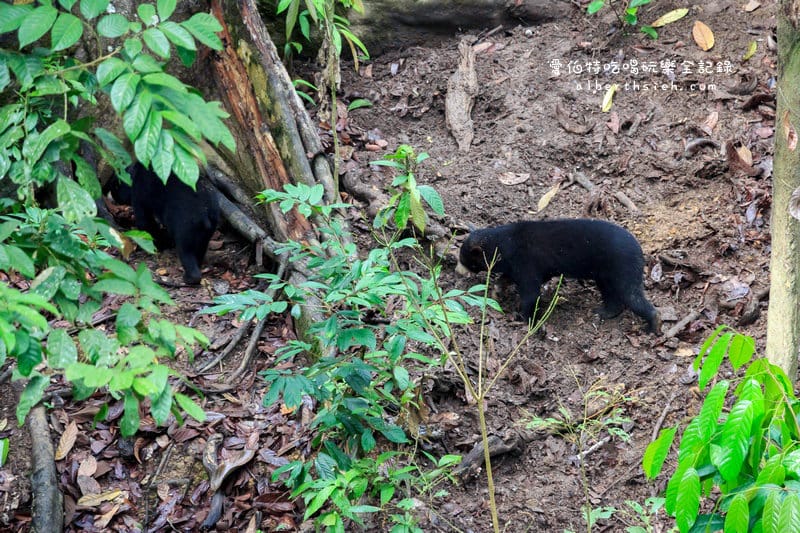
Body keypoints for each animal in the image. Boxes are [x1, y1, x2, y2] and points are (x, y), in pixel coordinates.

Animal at [456, 219, 659, 333]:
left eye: (464, 259)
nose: (457, 270)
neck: (504, 245)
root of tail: (640, 251)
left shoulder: (526, 262)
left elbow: (530, 293)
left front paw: (526, 318)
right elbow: (510, 278)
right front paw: (497, 290)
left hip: (621, 266)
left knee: (631, 294)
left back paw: (654, 324)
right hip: (605, 273)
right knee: (612, 295)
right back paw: (603, 312)